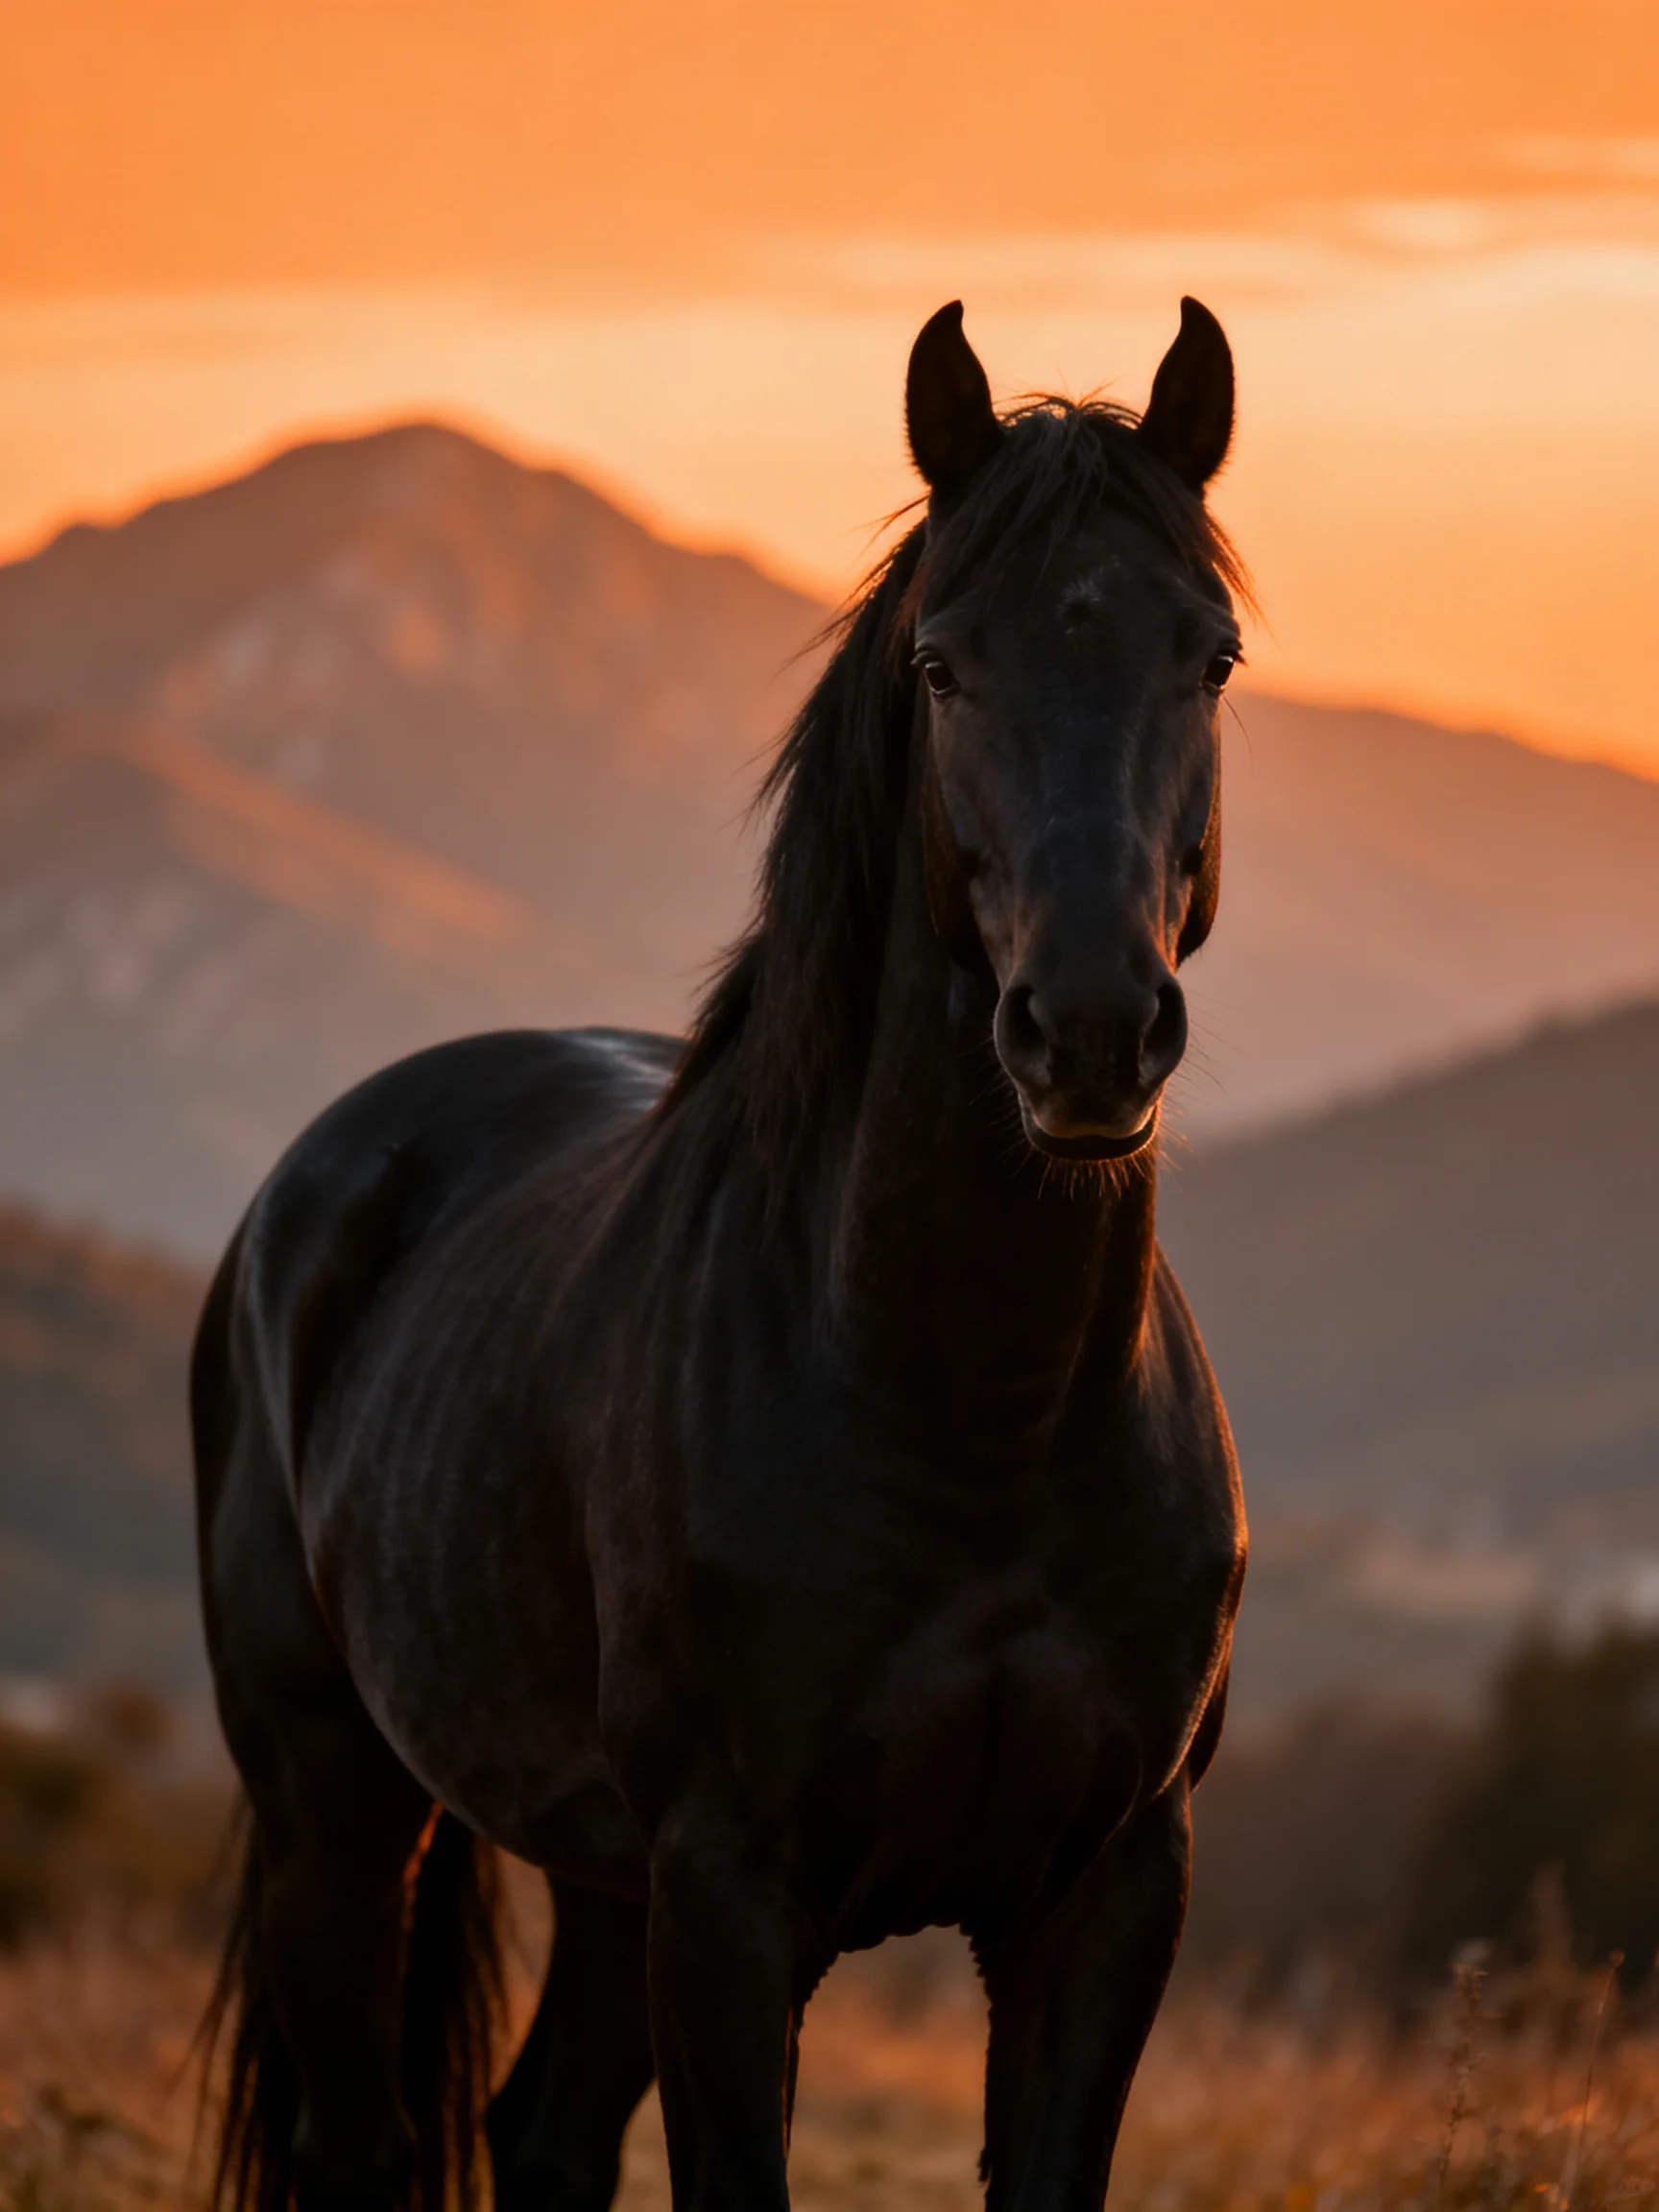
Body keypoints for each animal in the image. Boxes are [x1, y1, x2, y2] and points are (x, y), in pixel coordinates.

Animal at [193, 295, 1250, 2212]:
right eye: (940, 666)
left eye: (1206, 658)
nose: (1085, 1034)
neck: (975, 1420)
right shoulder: (729, 1896)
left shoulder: (1109, 1894)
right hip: (339, 1815)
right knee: (358, 2140)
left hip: (592, 1869)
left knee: (538, 2134)